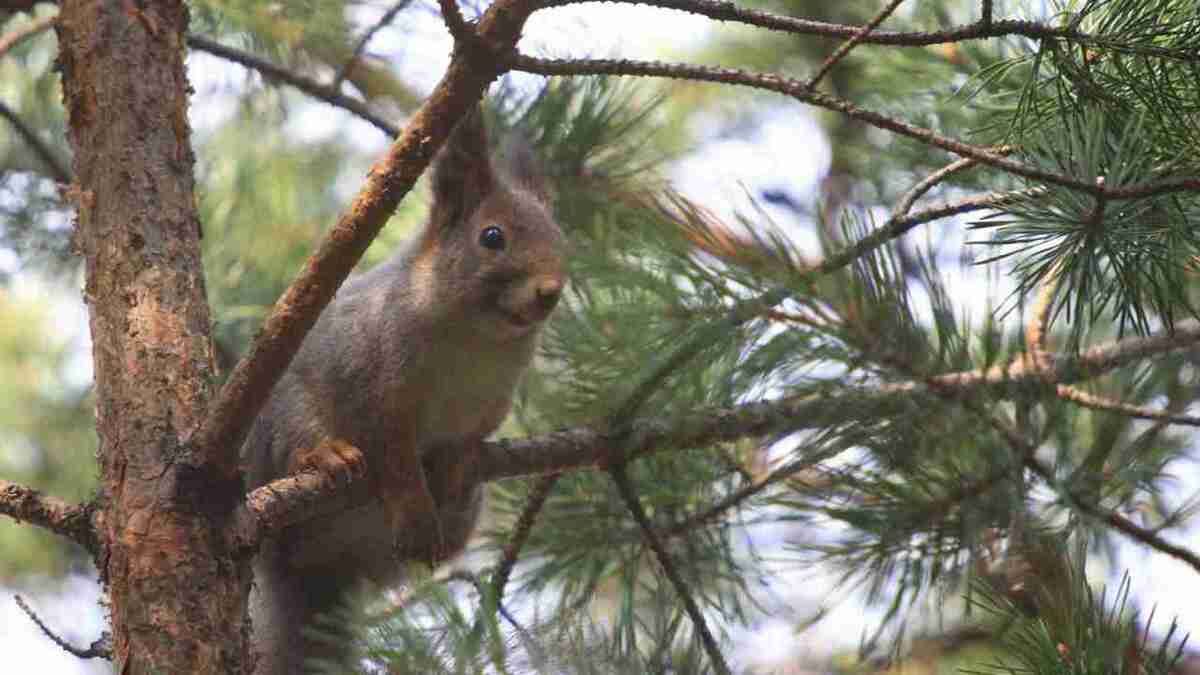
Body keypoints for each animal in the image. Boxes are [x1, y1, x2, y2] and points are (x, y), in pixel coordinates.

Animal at [243, 107, 566, 667]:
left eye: (561, 238)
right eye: (492, 237)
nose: (550, 292)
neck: (477, 340)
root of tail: (321, 566)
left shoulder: (489, 407)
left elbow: (467, 441)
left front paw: (454, 467)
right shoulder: (373, 381)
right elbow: (394, 455)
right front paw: (414, 506)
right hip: (282, 420)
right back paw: (325, 457)